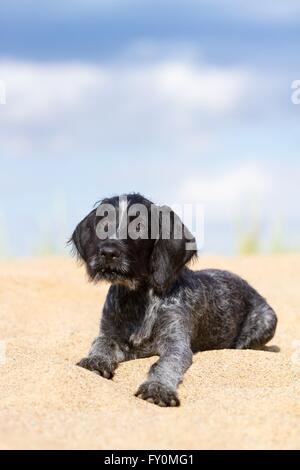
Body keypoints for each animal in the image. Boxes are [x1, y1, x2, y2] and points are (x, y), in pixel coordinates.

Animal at [70, 195, 276, 408]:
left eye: (139, 226)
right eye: (104, 224)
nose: (108, 252)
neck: (137, 298)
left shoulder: (176, 344)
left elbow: (162, 364)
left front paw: (158, 388)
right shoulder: (109, 333)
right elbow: (101, 344)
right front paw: (95, 360)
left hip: (268, 320)